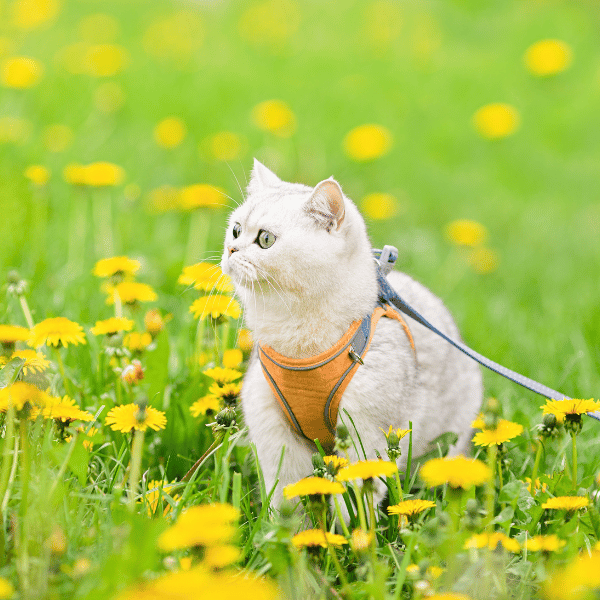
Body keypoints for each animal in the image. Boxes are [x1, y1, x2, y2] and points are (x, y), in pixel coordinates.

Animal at [221, 159, 482, 506]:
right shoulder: (273, 432)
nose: (231, 249)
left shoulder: (366, 433)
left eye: (265, 239)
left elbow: (355, 500)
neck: (297, 339)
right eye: (236, 230)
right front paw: (287, 523)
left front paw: (352, 522)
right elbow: (289, 494)